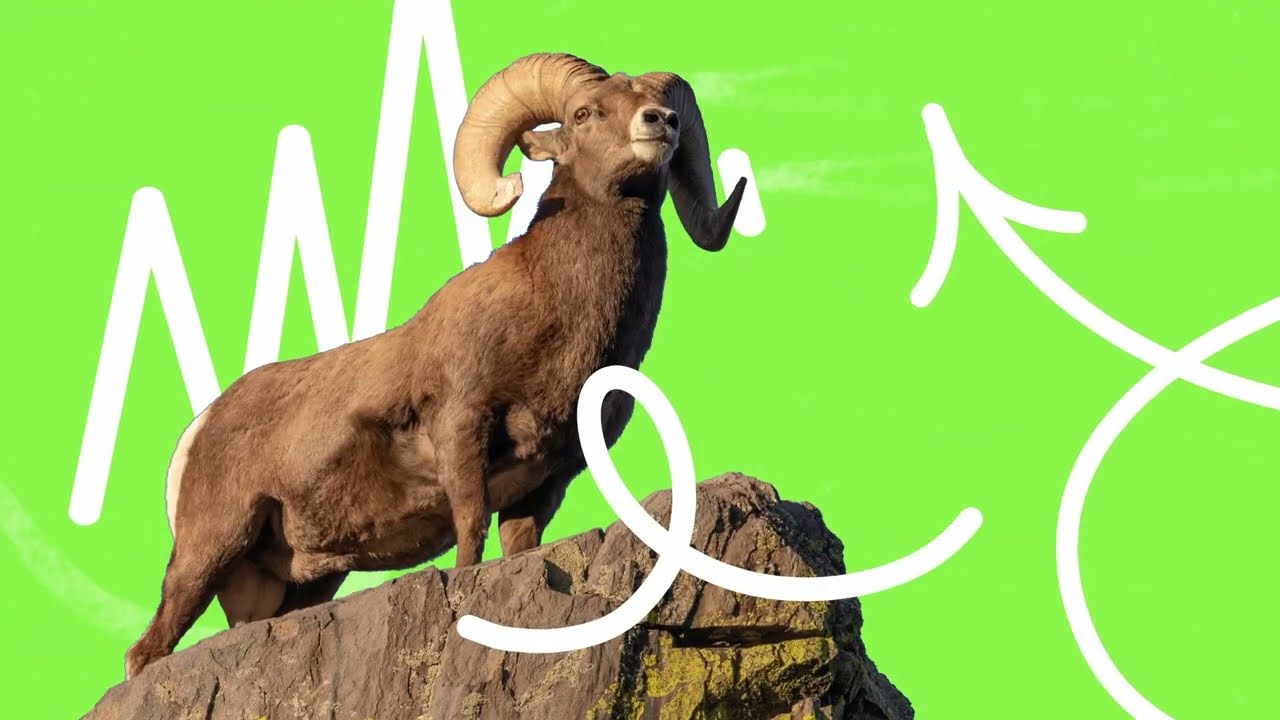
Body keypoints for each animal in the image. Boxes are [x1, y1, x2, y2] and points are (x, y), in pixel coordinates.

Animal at [123, 52, 748, 679]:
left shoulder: (550, 477)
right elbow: (469, 531)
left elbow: (519, 544)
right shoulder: (463, 428)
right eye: (584, 113)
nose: (660, 122)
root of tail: (198, 432)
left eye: (661, 105)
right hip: (210, 550)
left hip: (297, 582)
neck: (555, 314)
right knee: (146, 649)